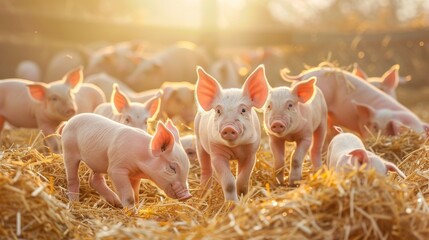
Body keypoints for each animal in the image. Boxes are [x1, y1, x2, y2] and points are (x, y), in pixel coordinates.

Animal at [61, 115, 191, 208]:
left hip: (99, 161)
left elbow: (136, 195)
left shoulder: (135, 176)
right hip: (69, 150)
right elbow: (129, 196)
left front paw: (136, 208)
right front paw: (131, 212)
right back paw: (75, 203)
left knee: (94, 180)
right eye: (172, 168)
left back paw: (116, 203)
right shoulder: (116, 169)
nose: (188, 196)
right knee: (73, 179)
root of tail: (68, 122)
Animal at [195, 64, 268, 202]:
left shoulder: (251, 153)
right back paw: (202, 196)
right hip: (199, 142)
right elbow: (229, 182)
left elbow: (242, 180)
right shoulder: (216, 153)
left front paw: (243, 198)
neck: (235, 148)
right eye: (218, 110)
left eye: (243, 110)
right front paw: (232, 204)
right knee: (206, 168)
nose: (228, 127)